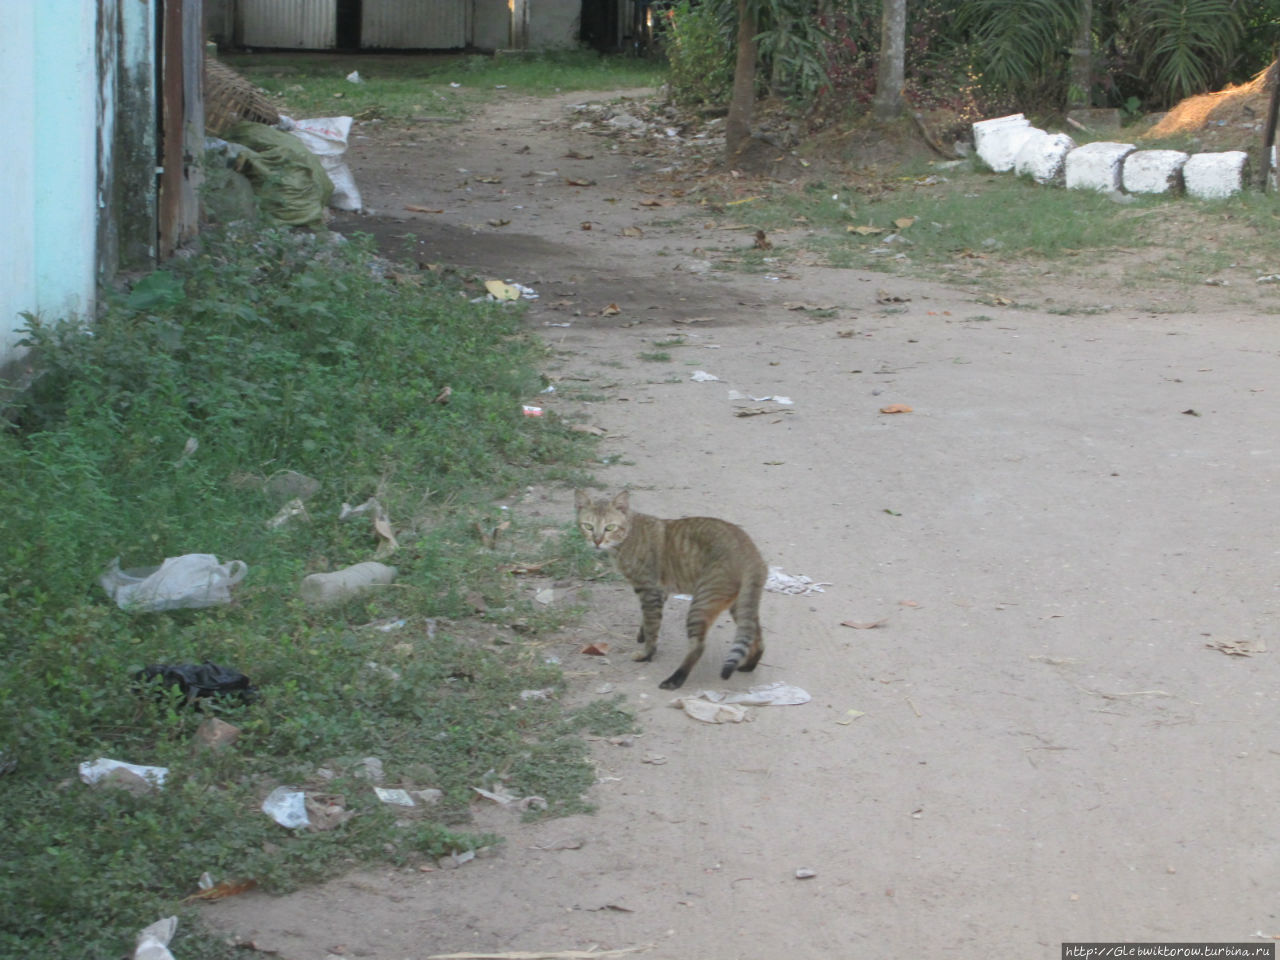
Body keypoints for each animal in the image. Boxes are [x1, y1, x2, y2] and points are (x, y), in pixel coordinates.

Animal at [576, 488, 762, 691]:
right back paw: (749, 664)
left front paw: (647, 653)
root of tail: (749, 550)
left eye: (609, 527)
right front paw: (642, 635)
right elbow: (647, 621)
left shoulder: (649, 590)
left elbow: (652, 626)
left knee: (698, 647)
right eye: (588, 526)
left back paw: (676, 678)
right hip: (740, 603)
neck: (628, 537)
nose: (597, 541)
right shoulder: (660, 592)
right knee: (756, 634)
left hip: (702, 603)